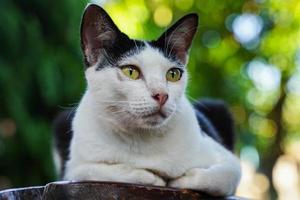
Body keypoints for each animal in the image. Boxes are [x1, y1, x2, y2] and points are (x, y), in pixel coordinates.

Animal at [52, 3, 241, 196]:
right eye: (130, 71)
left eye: (173, 74)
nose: (162, 95)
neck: (142, 139)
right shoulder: (73, 169)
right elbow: (103, 170)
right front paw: (153, 177)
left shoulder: (228, 160)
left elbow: (220, 177)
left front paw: (182, 179)